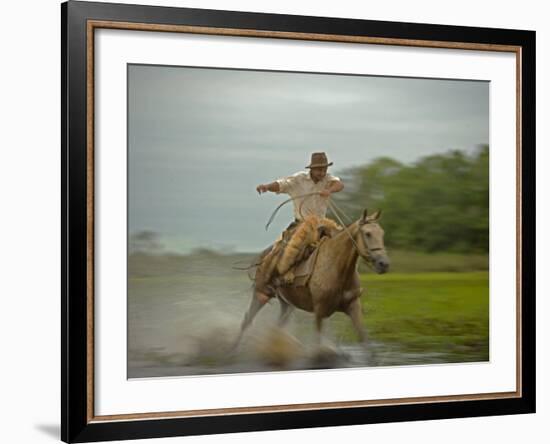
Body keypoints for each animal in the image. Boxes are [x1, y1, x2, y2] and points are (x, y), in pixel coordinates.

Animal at [235, 209, 390, 350]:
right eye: (368, 233)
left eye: (382, 233)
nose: (384, 264)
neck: (336, 268)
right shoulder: (319, 311)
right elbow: (317, 343)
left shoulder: (353, 306)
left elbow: (365, 340)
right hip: (261, 294)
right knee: (247, 320)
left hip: (286, 304)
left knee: (276, 327)